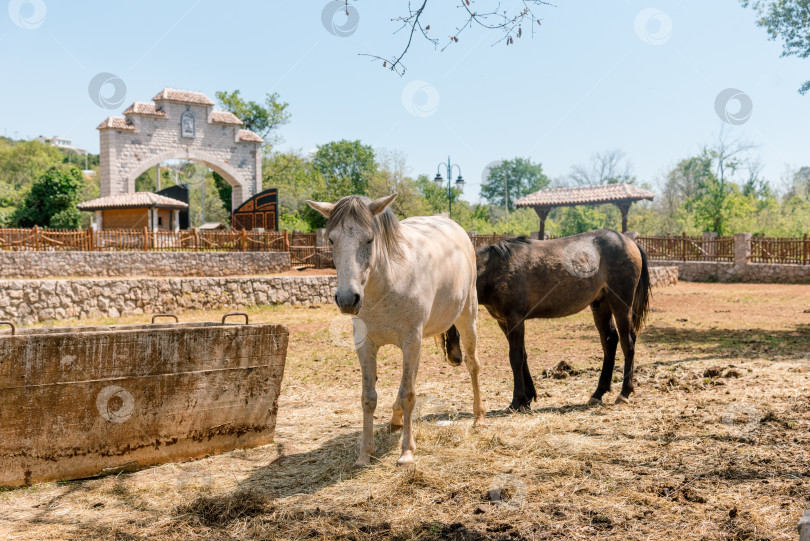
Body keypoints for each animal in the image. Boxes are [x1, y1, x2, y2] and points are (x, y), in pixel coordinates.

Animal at [306, 194, 485, 467]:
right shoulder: (366, 345)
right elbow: (369, 397)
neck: (388, 285)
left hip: (467, 317)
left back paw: (479, 417)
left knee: (473, 365)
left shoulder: (411, 341)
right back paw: (395, 418)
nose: (347, 299)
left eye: (369, 239)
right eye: (331, 240)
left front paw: (407, 452)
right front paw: (365, 453)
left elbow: (408, 394)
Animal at [445, 229, 651, 411]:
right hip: (601, 305)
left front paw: (516, 401)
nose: (454, 358)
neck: (495, 269)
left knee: (627, 342)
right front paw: (528, 398)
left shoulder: (515, 319)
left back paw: (624, 393)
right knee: (609, 342)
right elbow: (523, 356)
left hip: (621, 304)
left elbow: (515, 357)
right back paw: (598, 393)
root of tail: (629, 241)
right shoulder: (504, 322)